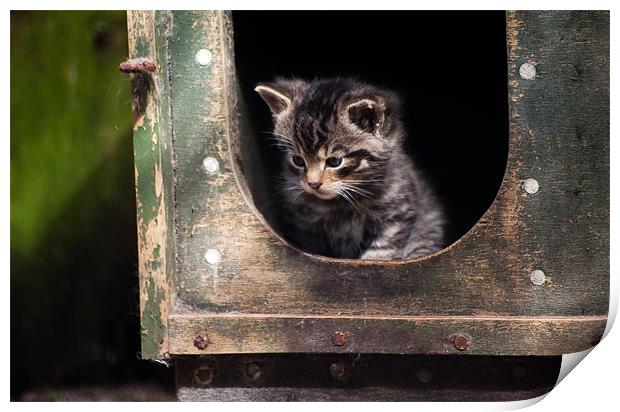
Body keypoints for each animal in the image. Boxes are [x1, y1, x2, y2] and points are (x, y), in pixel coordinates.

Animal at [256, 76, 446, 260]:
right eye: (298, 160)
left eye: (334, 161)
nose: (313, 184)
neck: (341, 203)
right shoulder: (304, 224)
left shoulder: (396, 216)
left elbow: (382, 252)